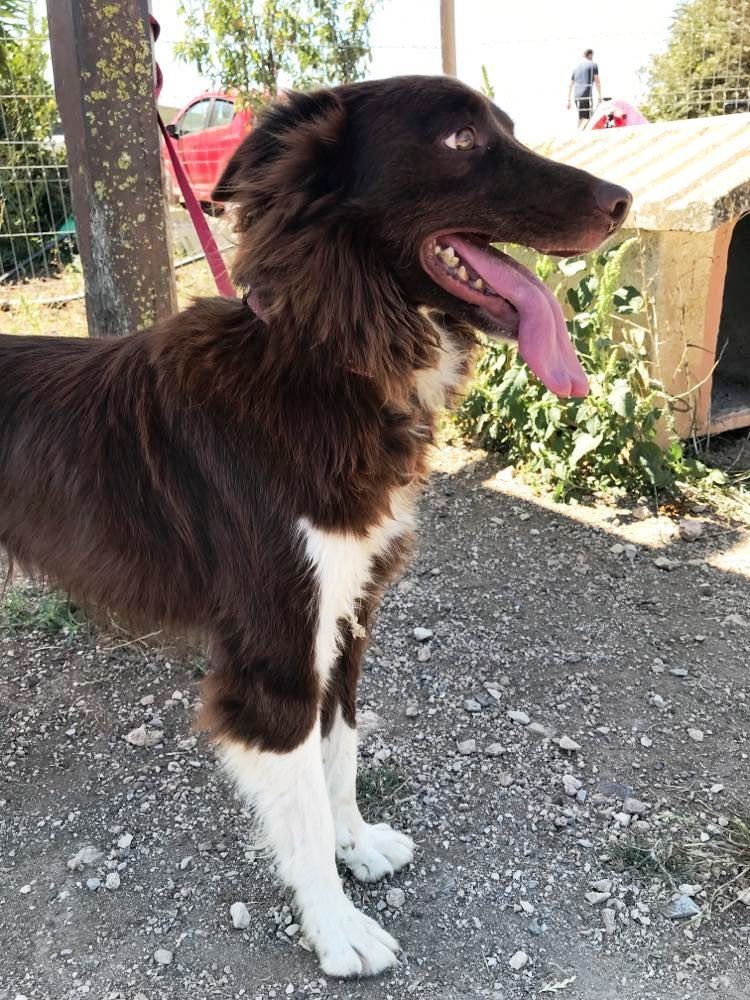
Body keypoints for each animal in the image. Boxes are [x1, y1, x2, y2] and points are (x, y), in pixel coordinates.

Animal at [0, 78, 632, 976]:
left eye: (508, 127)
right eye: (462, 139)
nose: (623, 201)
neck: (328, 361)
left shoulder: (345, 616)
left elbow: (341, 753)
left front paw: (357, 846)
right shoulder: (273, 655)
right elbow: (298, 803)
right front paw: (337, 928)